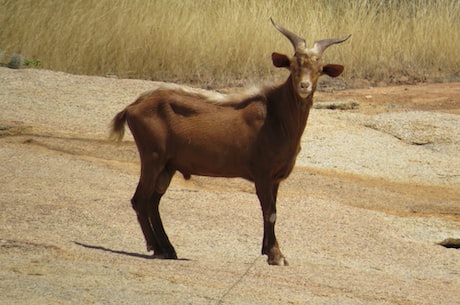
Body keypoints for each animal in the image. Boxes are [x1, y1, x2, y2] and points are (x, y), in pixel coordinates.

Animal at [109, 18, 350, 264]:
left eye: (320, 70)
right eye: (292, 66)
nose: (304, 86)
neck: (276, 117)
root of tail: (132, 107)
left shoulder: (275, 178)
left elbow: (273, 210)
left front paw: (267, 250)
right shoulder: (262, 171)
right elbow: (270, 212)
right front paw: (275, 255)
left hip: (167, 165)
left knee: (152, 201)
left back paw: (168, 249)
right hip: (152, 156)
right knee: (140, 199)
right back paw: (156, 248)